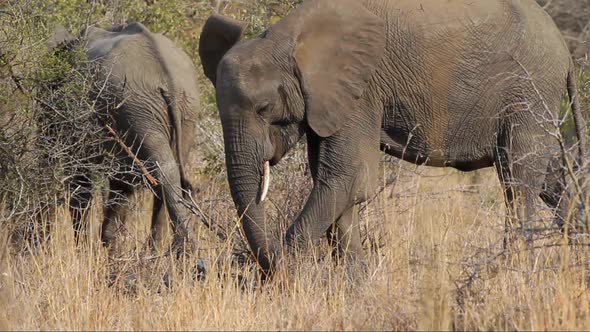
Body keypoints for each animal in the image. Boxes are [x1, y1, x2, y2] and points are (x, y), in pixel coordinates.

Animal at [49, 22, 201, 252]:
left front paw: (85, 250)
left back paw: (177, 250)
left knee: (163, 171)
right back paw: (163, 251)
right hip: (180, 110)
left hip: (138, 108)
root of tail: (170, 82)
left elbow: (80, 176)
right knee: (169, 170)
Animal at [202, 0, 588, 274]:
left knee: (518, 181)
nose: (268, 266)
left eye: (264, 108)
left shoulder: (363, 90)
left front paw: (285, 275)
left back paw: (514, 271)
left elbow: (350, 177)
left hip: (529, 90)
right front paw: (354, 284)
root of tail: (564, 49)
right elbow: (333, 181)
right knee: (550, 179)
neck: (288, 39)